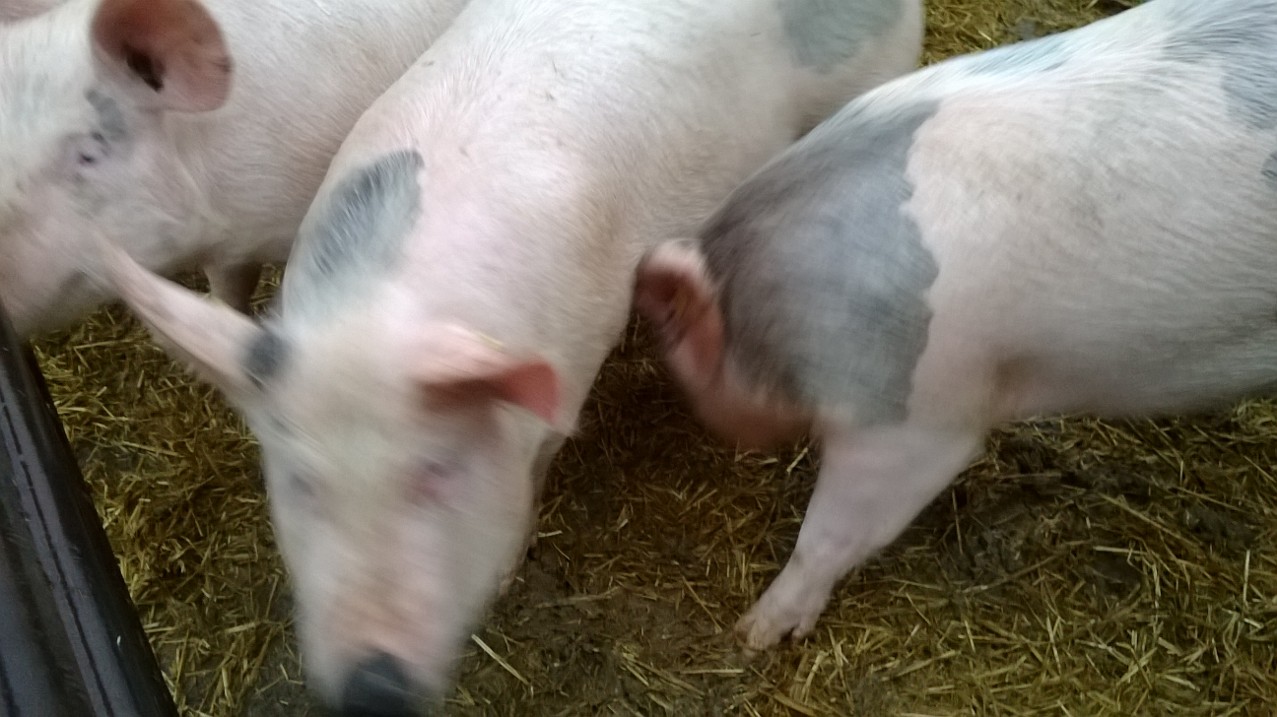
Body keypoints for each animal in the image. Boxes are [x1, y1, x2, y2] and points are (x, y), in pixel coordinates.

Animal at [95, 0, 925, 712]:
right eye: (301, 481)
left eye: (436, 468)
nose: (371, 691)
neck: (382, 308)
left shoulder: (573, 360)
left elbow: (539, 461)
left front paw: (503, 574)